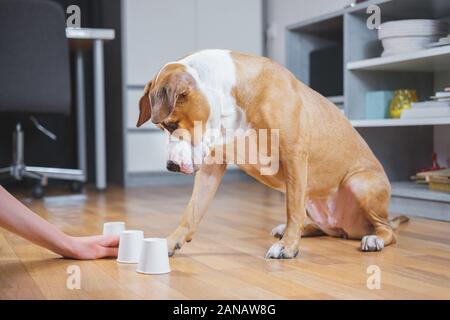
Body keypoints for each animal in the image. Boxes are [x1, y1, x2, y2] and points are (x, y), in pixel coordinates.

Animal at [135, 50, 406, 260]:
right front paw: (171, 242)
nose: (170, 166)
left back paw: (373, 239)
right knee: (324, 227)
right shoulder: (211, 167)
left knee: (387, 230)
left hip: (358, 183)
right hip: (315, 200)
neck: (229, 98)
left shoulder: (293, 154)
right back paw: (294, 229)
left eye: (171, 125)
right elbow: (191, 211)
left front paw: (288, 248)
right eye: (163, 128)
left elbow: (292, 208)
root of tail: (350, 228)